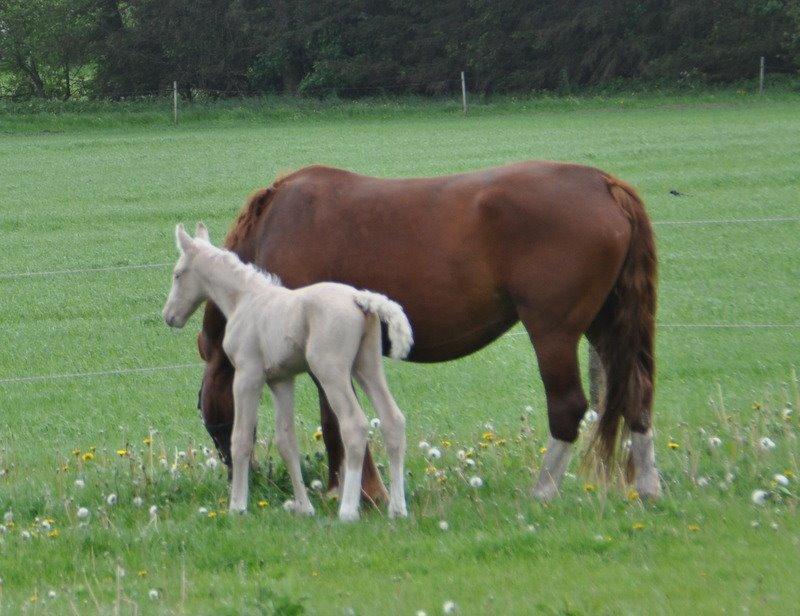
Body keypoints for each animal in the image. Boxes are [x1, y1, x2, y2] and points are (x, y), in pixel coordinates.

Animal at [162, 224, 412, 524]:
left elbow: (241, 438)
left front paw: (238, 506)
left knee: (355, 425)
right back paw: (397, 509)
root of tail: (359, 298)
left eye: (177, 274)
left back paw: (348, 510)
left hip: (331, 371)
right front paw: (304, 507)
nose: (169, 316)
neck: (245, 300)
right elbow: (286, 441)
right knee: (393, 420)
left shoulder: (248, 375)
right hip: (367, 367)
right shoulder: (281, 380)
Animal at [197, 162, 660, 500]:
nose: (243, 476)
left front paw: (363, 493)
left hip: (554, 333)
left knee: (567, 408)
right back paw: (647, 486)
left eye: (209, 415)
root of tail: (602, 183)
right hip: (606, 327)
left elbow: (337, 424)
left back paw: (543, 491)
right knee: (636, 396)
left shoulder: (324, 357)